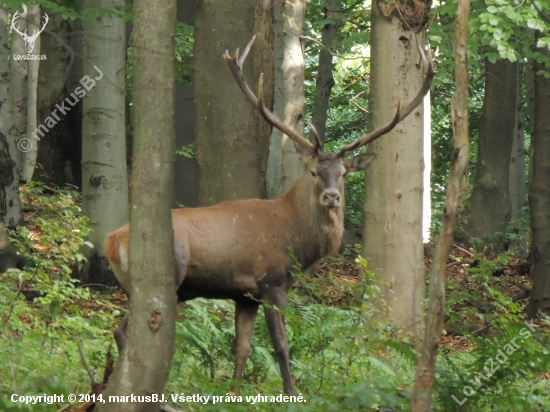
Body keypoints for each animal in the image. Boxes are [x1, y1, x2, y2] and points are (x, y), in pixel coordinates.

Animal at [105, 36, 438, 396]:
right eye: (313, 171)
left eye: (343, 174)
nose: (331, 197)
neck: (295, 241)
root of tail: (112, 240)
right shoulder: (271, 282)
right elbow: (281, 345)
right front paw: (292, 394)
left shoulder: (244, 295)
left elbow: (242, 348)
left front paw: (234, 394)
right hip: (165, 278)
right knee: (125, 330)